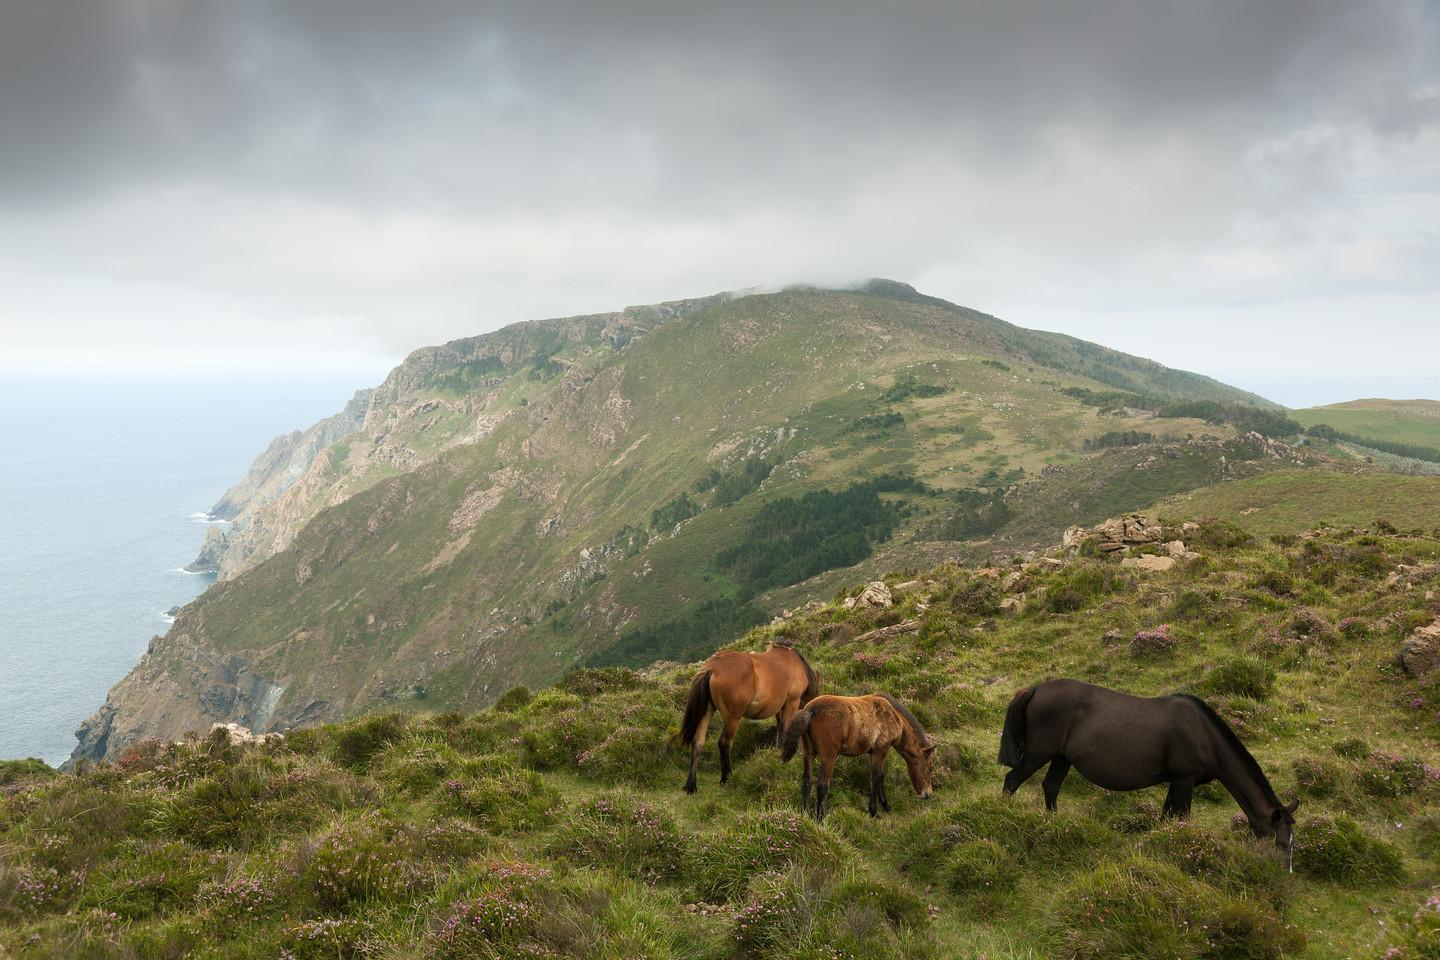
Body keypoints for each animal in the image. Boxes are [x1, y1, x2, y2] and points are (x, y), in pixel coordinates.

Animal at [680, 643, 821, 794]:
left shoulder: (779, 708)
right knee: (724, 743)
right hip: (732, 717)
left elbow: (780, 732)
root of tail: (713, 667)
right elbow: (784, 731)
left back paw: (691, 785)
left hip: (707, 711)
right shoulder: (791, 702)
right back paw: (726, 777)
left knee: (698, 742)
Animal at [779, 692, 935, 819]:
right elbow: (876, 777)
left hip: (809, 753)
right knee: (822, 785)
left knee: (806, 782)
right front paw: (874, 811)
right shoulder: (881, 750)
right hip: (828, 757)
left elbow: (880, 776)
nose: (927, 793)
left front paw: (885, 805)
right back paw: (820, 819)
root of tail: (810, 710)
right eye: (930, 768)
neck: (893, 716)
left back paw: (804, 814)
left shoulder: (872, 752)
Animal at [998, 679, 1300, 868]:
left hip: (1061, 758)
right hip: (1038, 754)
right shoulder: (1185, 781)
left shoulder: (1176, 782)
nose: (1281, 872)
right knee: (1012, 781)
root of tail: (1035, 689)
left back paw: (1054, 826)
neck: (1204, 735)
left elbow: (1166, 818)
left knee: (1050, 787)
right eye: (1280, 842)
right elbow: (1182, 818)